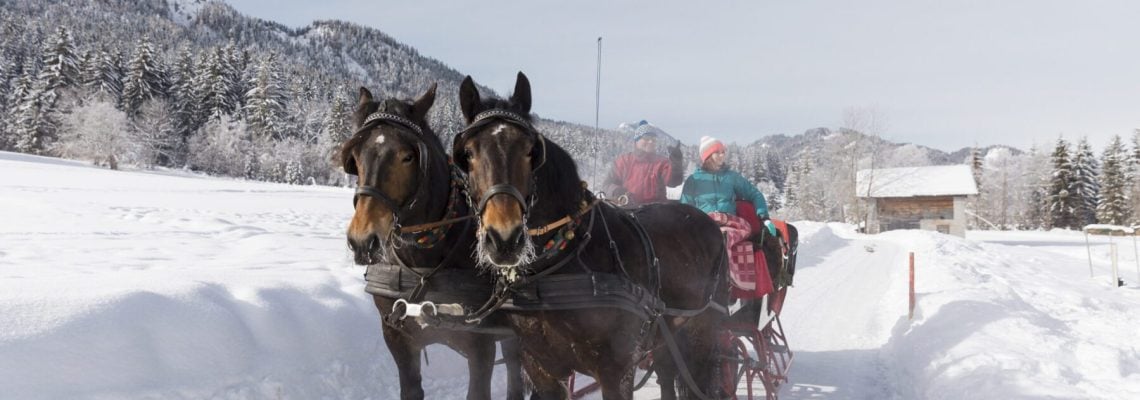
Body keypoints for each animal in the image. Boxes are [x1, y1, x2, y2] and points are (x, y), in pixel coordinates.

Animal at [339, 84, 526, 400]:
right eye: (356, 155)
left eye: (408, 156)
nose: (363, 241)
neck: (423, 265)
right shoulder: (398, 340)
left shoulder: (481, 346)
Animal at [451, 72, 729, 400]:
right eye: (467, 154)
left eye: (531, 152)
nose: (505, 239)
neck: (558, 265)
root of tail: (710, 223)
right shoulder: (541, 369)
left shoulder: (617, 370)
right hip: (668, 335)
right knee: (666, 374)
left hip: (703, 332)